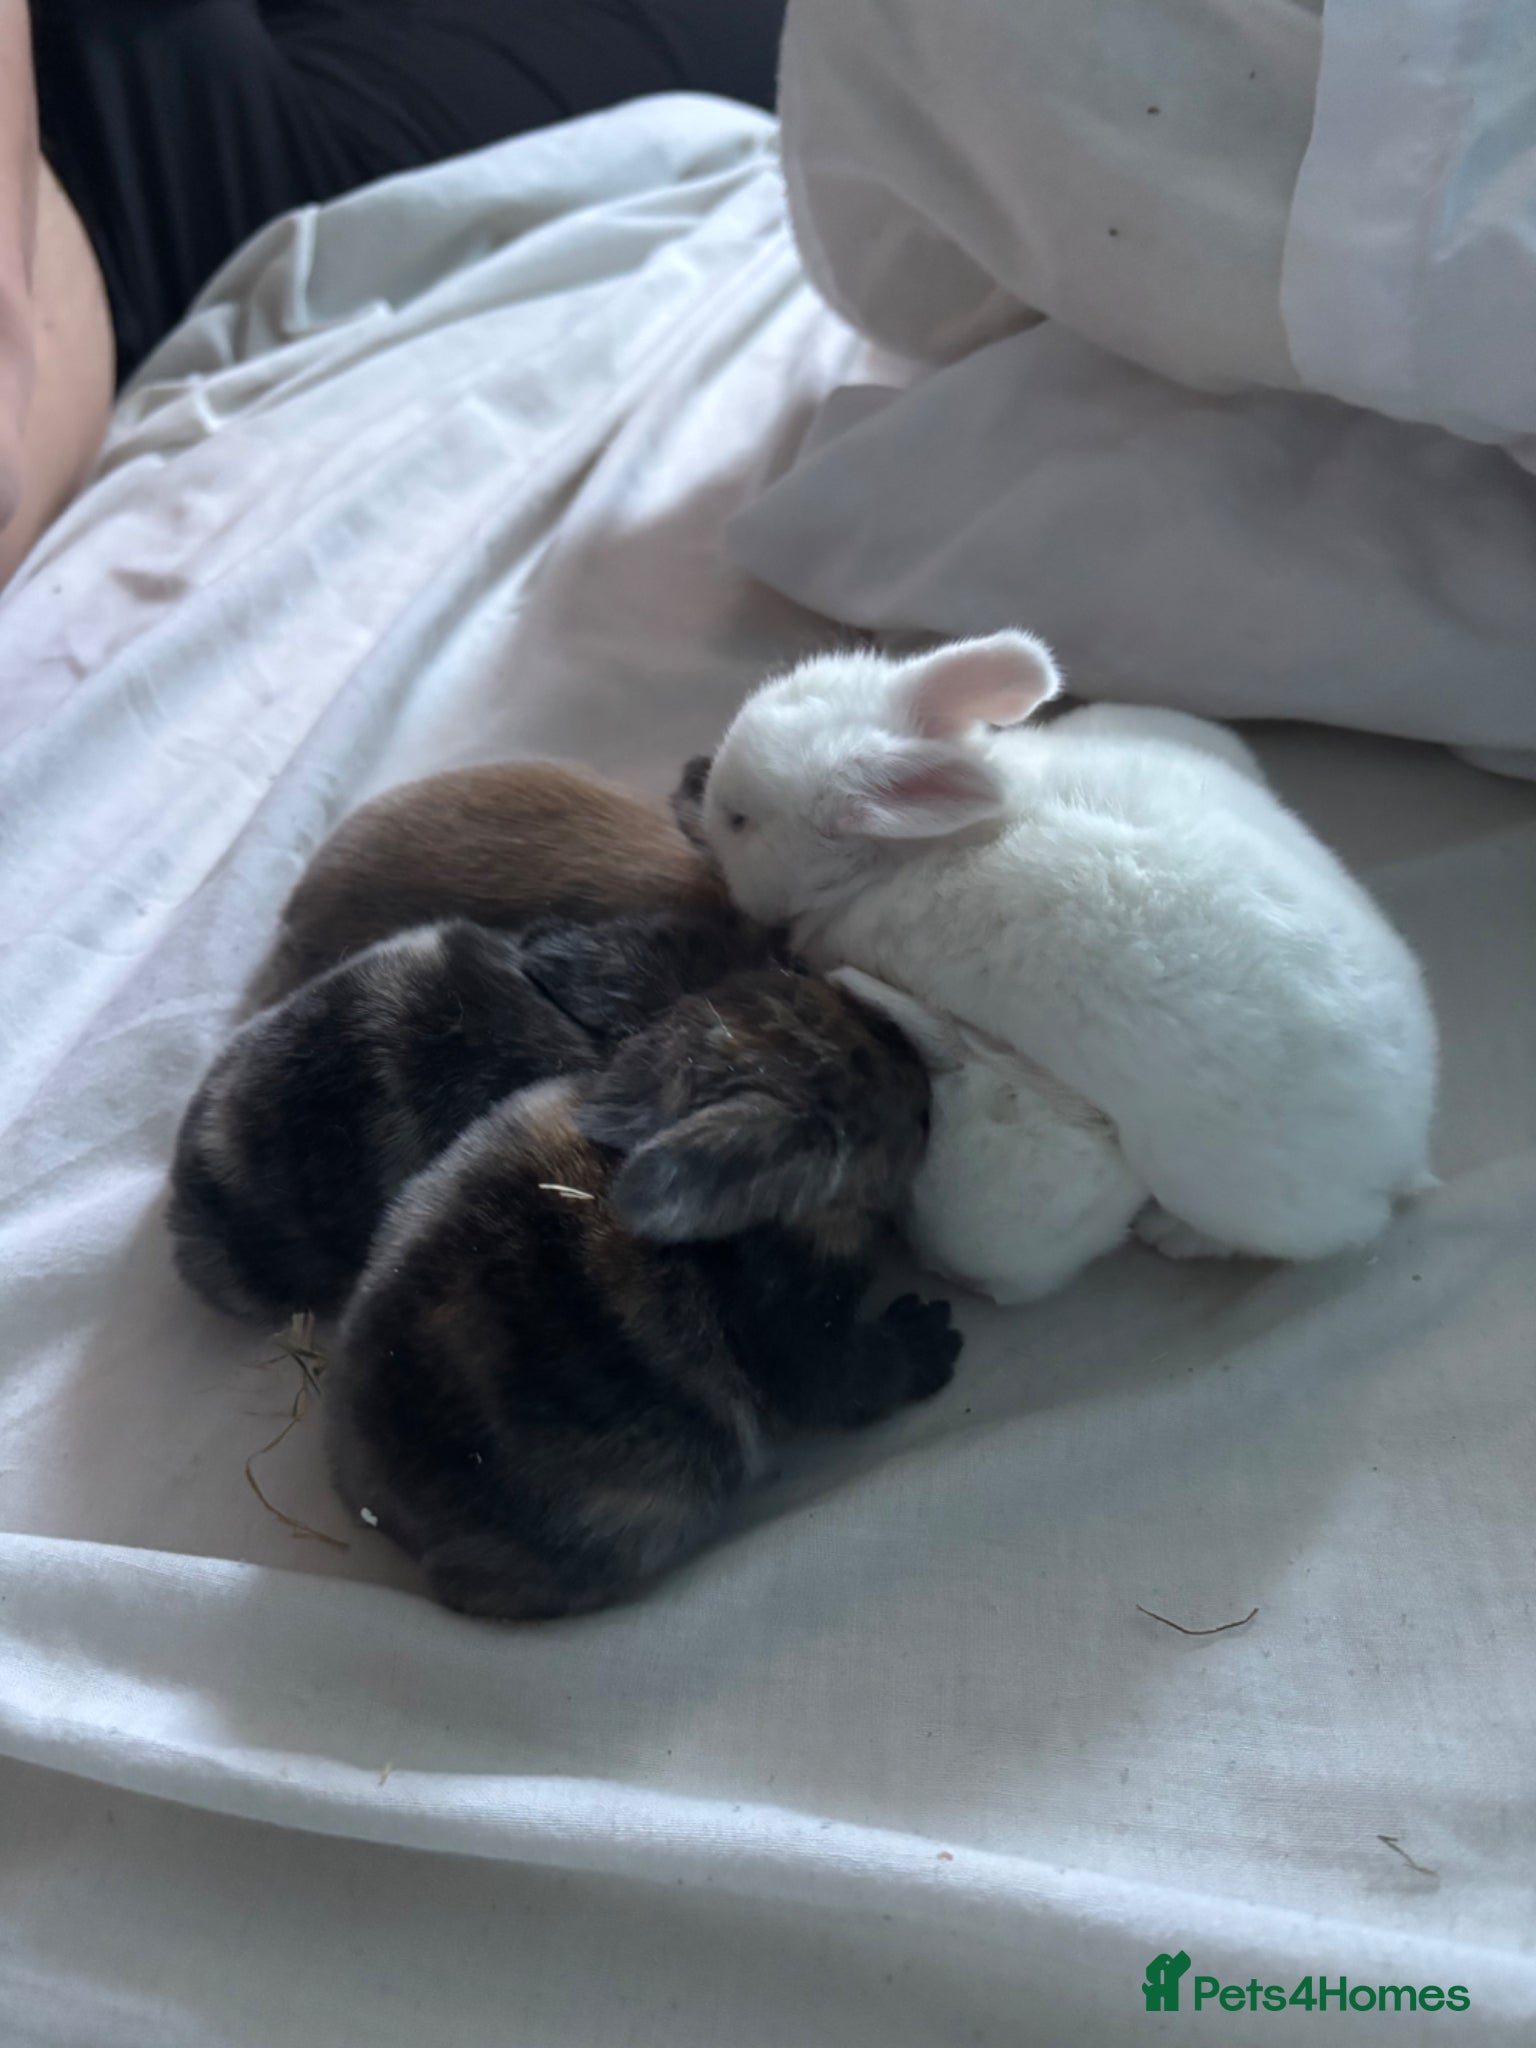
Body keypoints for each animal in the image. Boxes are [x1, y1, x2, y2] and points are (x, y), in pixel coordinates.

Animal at [326, 965, 962, 1620]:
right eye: (914, 1116)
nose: (913, 1059)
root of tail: (375, 1502)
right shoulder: (800, 1339)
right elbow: (855, 1378)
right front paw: (926, 1339)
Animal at [680, 632, 1438, 1266]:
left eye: (739, 820)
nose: (703, 803)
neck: (907, 849)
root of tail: (1401, 1154)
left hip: (1228, 1193)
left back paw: (1173, 1234)